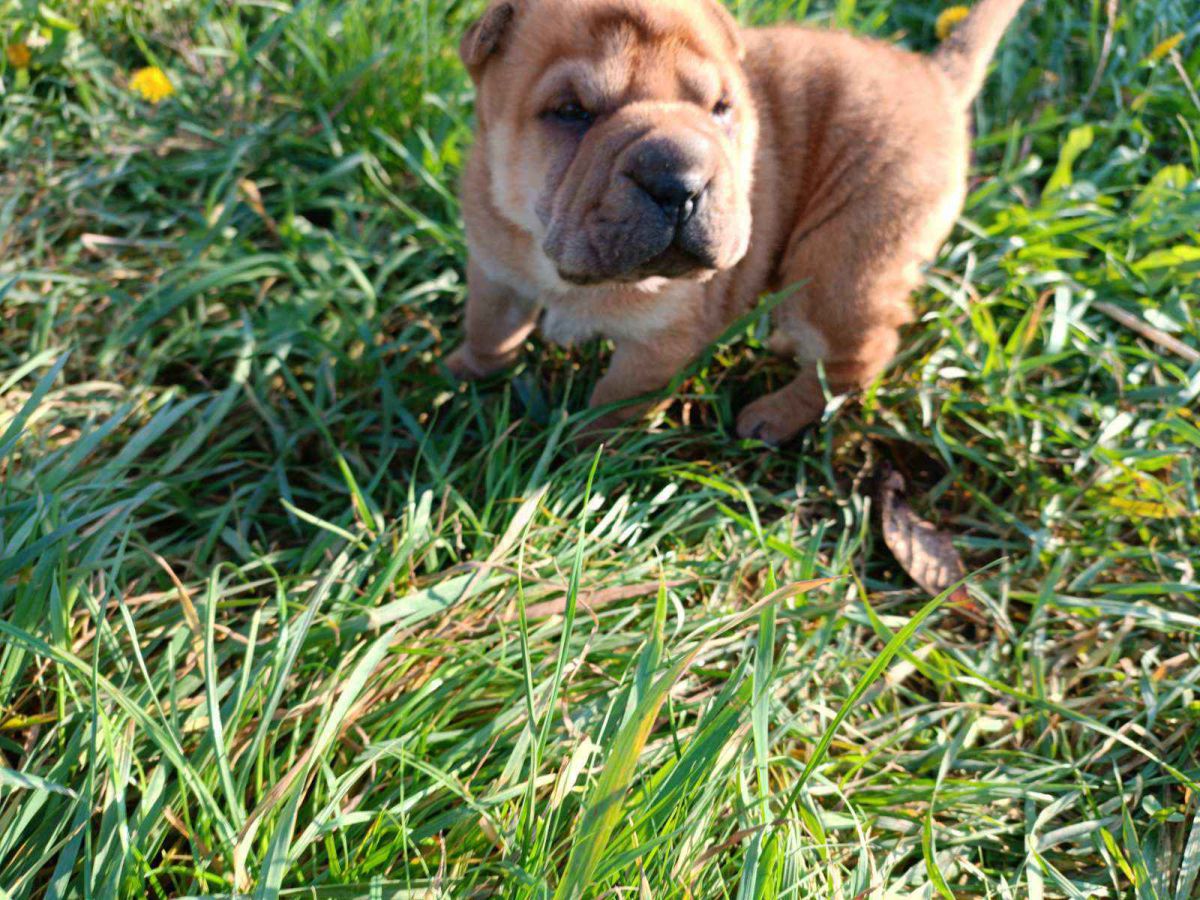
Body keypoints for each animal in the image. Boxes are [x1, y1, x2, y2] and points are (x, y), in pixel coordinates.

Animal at [446, 0, 1026, 444]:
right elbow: (488, 331)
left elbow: (613, 401)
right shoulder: (495, 268)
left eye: (721, 107)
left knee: (858, 355)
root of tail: (933, 77)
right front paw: (458, 376)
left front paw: (579, 451)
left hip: (840, 264)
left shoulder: (660, 344)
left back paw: (774, 416)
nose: (678, 182)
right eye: (571, 111)